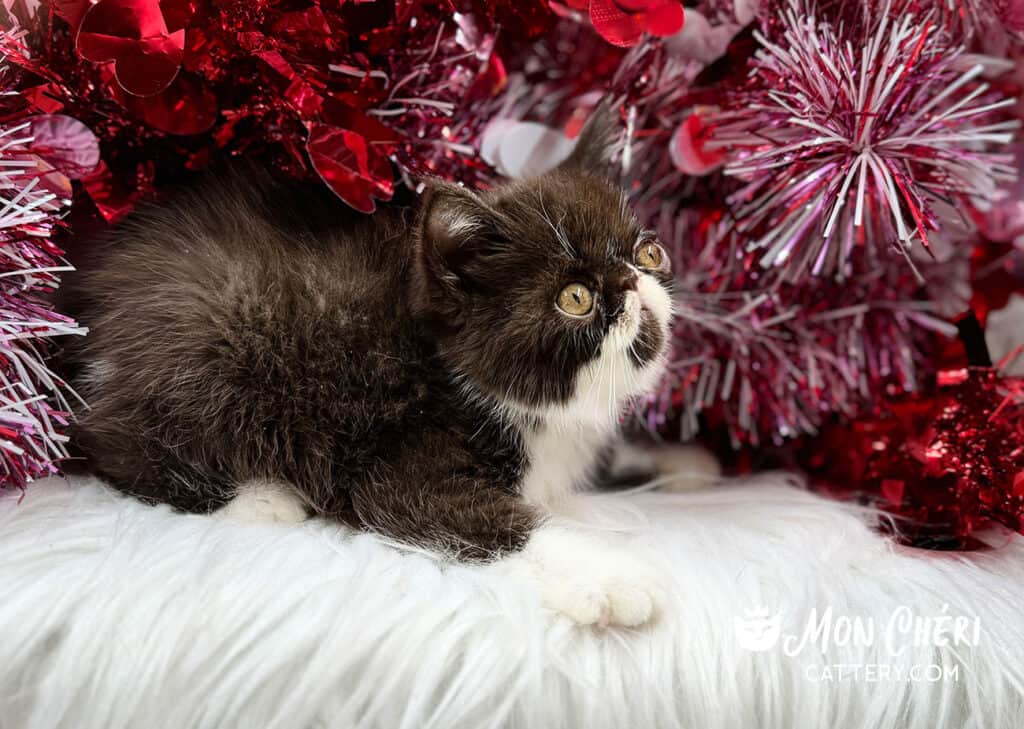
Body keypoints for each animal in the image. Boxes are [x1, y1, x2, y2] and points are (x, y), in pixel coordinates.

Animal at [61, 113, 671, 626]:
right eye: (576, 297)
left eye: (649, 254)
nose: (634, 285)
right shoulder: (399, 462)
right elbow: (492, 522)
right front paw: (609, 578)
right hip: (209, 339)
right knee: (111, 439)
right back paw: (262, 496)